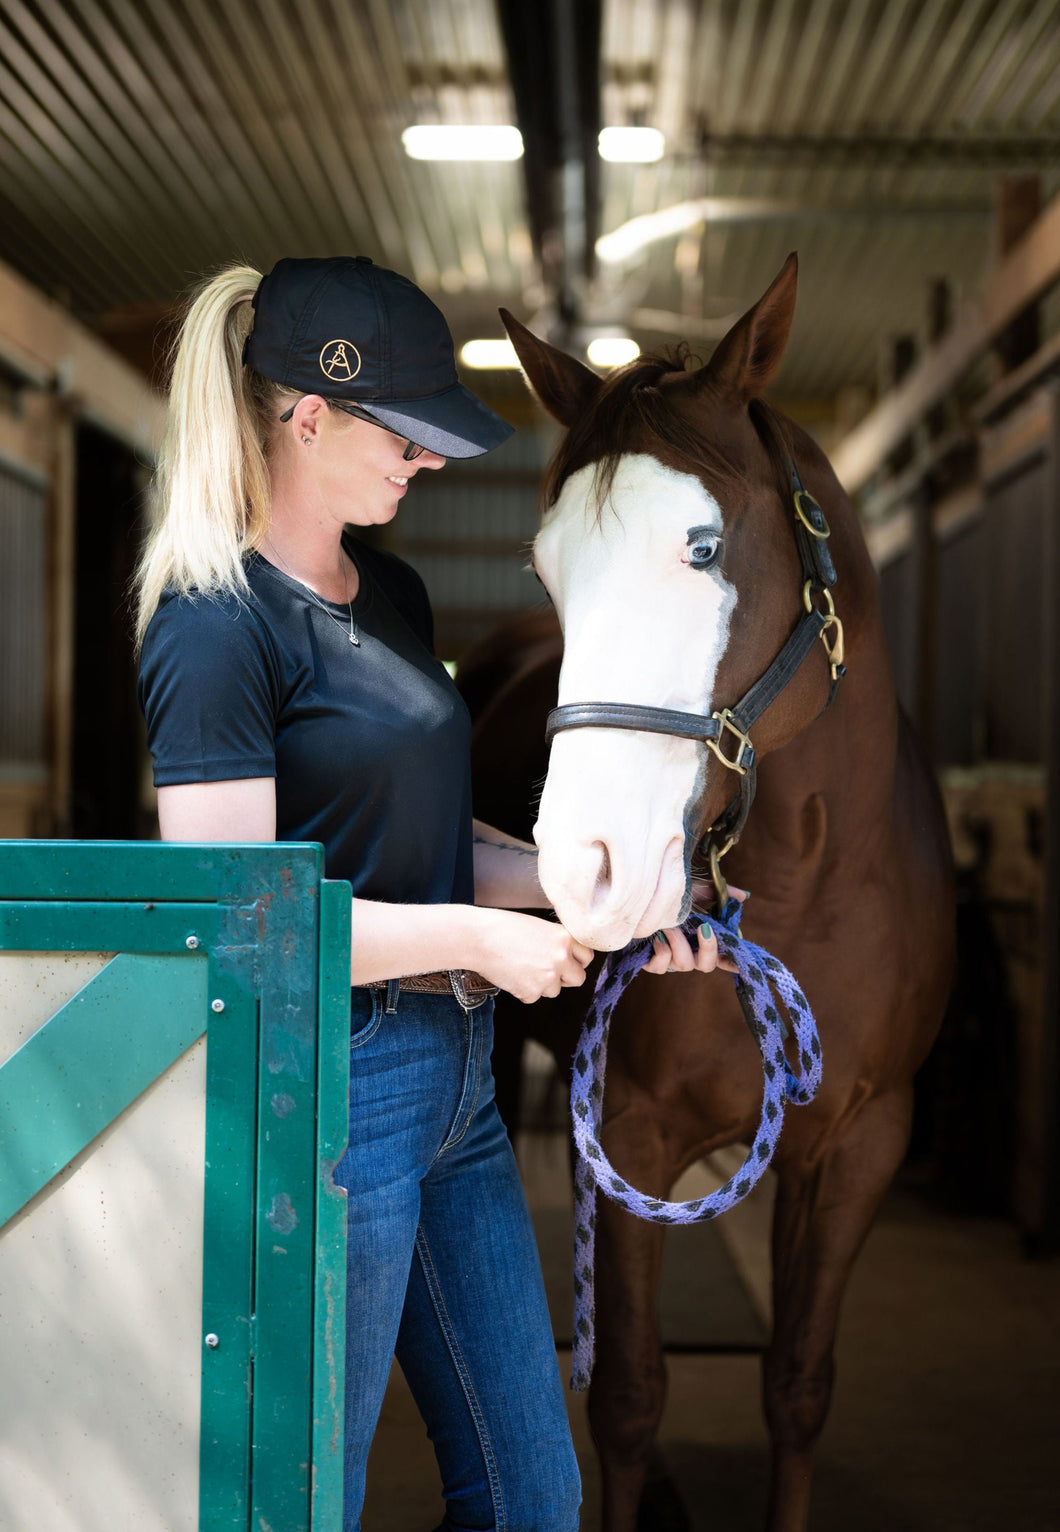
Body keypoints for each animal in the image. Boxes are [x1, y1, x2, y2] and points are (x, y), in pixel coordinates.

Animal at [462, 257, 949, 1525]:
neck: (809, 875)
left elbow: (798, 1384)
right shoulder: (629, 1131)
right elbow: (629, 1396)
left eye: (700, 545)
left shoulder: (860, 1142)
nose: (584, 867)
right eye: (549, 567)